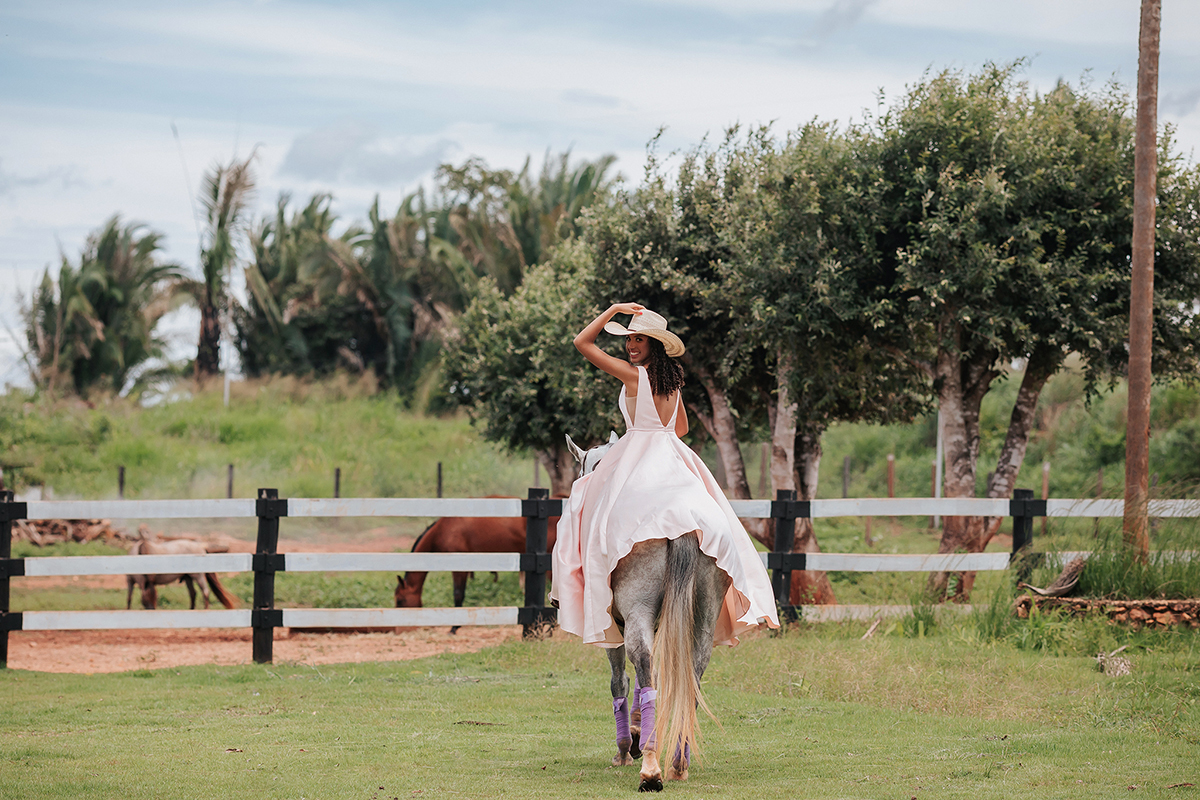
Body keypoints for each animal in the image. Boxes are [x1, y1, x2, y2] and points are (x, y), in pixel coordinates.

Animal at [394, 497, 563, 634]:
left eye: (400, 600)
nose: (397, 630)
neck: (446, 529)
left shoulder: (459, 566)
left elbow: (458, 595)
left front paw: (454, 627)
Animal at [568, 432, 730, 792]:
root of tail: (681, 522)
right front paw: (638, 731)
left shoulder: (614, 628)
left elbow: (621, 681)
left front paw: (627, 746)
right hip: (703, 615)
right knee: (692, 672)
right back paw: (677, 761)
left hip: (636, 615)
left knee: (641, 663)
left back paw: (651, 769)